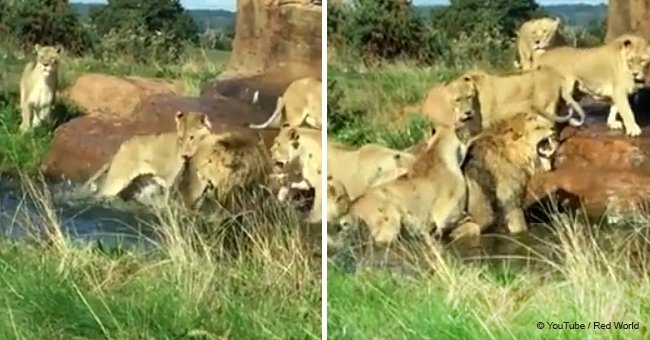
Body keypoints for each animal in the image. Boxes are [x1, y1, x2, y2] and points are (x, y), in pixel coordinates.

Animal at [83, 110, 213, 199]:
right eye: (180, 138)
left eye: (192, 137)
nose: (184, 155)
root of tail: (123, 145)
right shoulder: (171, 183)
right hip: (116, 181)